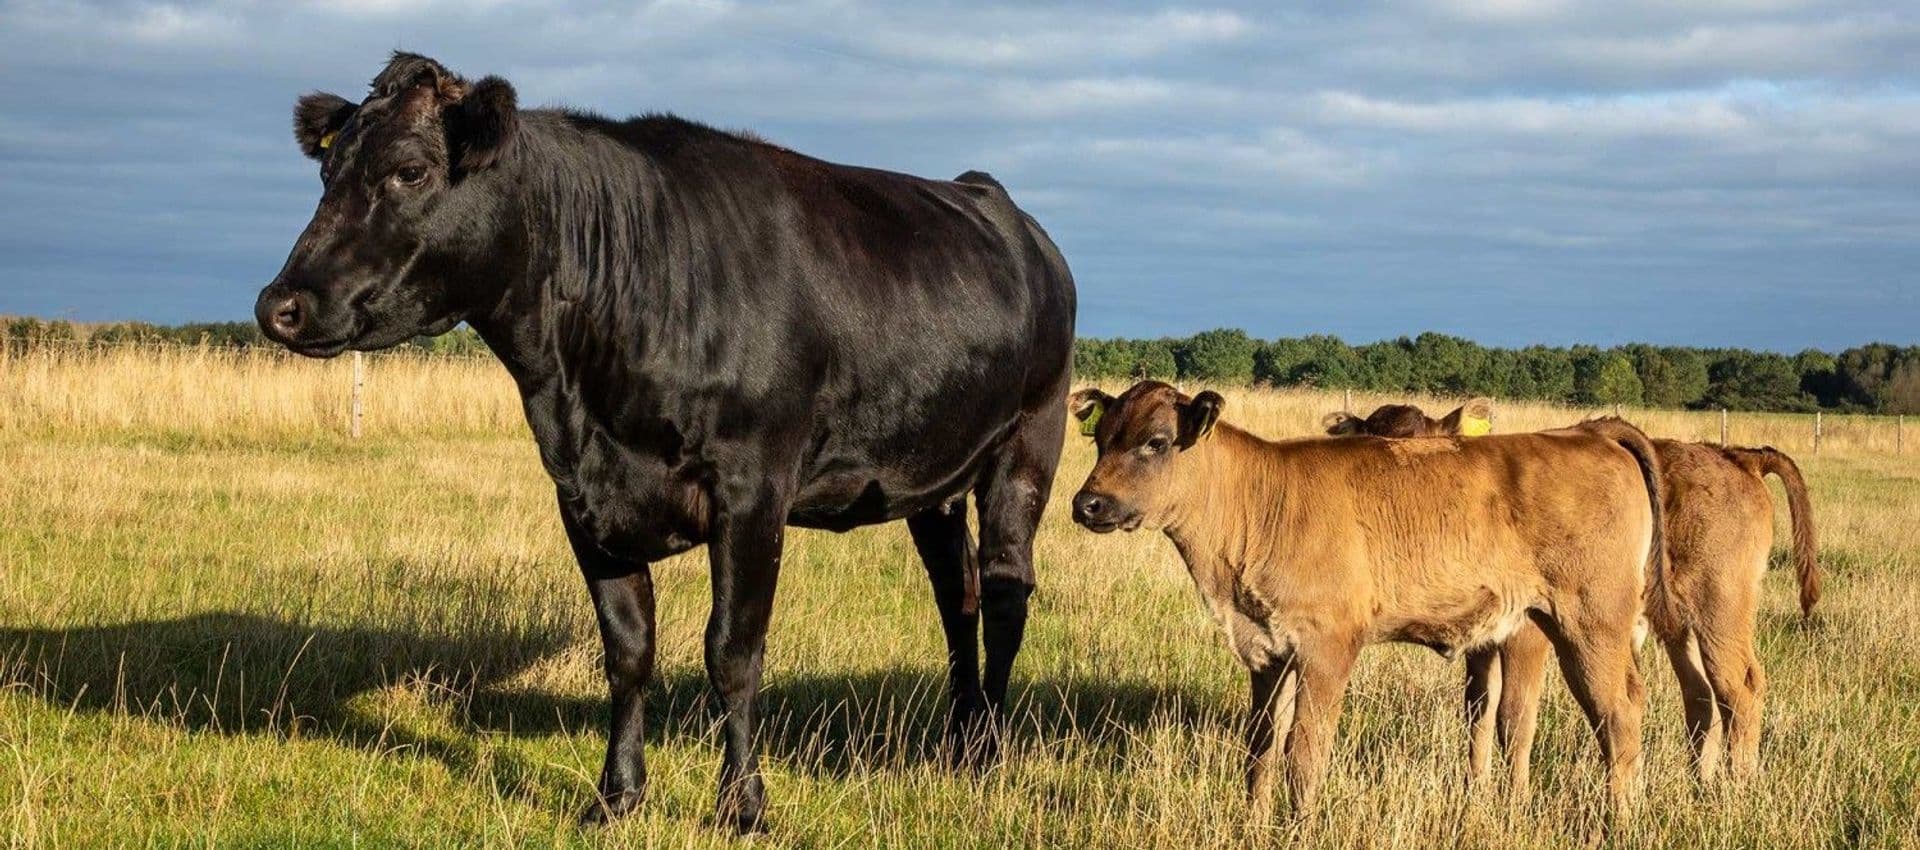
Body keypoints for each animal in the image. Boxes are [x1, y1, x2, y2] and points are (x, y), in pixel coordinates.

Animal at [253, 53, 1076, 833]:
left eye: (411, 170)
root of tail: (1002, 207)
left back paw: (990, 752)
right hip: (933, 480)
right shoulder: (581, 496)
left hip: (1029, 442)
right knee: (957, 596)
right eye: (326, 172)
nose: (278, 305)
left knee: (1005, 593)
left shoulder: (753, 489)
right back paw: (961, 743)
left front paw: (743, 806)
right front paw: (616, 797)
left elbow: (732, 651)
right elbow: (626, 650)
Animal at [1066, 381, 1668, 818]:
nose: (1087, 503)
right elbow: (1261, 748)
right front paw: (1254, 822)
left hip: (1588, 624)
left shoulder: (1328, 646)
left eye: (1155, 442)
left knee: (1616, 714)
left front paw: (1299, 827)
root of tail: (1589, 435)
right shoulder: (1267, 650)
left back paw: (1620, 818)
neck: (1258, 502)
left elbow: (1305, 754)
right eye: (1100, 440)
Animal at [1325, 402, 1819, 788]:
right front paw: (1475, 792)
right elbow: (1477, 713)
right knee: (1700, 696)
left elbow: (1513, 717)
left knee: (1739, 690)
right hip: (1678, 627)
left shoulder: (1525, 635)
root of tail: (1736, 456)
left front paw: (1513, 800)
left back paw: (1737, 789)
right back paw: (1701, 784)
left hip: (1719, 610)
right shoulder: (1482, 642)